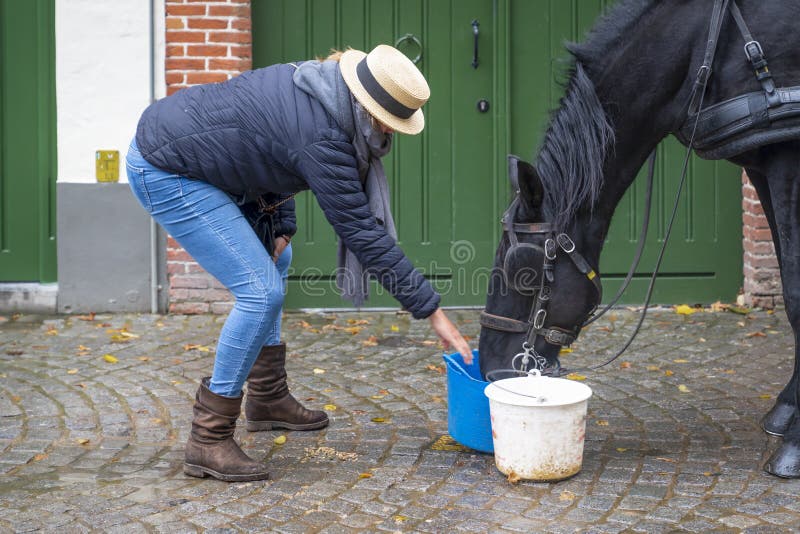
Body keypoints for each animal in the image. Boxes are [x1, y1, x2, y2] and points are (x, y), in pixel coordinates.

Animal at [478, 0, 800, 480]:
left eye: (524, 270)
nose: (490, 366)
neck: (704, 44)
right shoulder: (761, 162)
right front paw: (787, 409)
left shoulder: (786, 157)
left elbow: (795, 295)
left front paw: (793, 443)